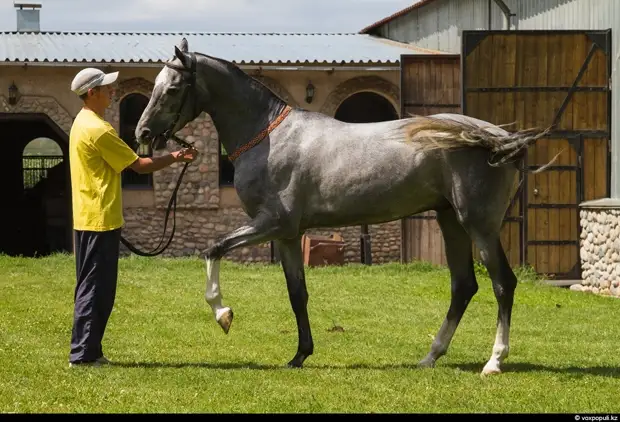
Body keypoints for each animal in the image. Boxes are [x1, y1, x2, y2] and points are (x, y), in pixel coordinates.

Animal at [137, 38, 552, 376]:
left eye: (172, 88)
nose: (142, 133)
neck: (269, 136)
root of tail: (498, 138)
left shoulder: (271, 224)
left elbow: (213, 249)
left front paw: (223, 314)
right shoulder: (289, 235)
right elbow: (297, 293)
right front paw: (299, 355)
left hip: (479, 224)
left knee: (502, 283)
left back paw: (494, 361)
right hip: (450, 221)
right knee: (463, 285)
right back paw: (430, 356)